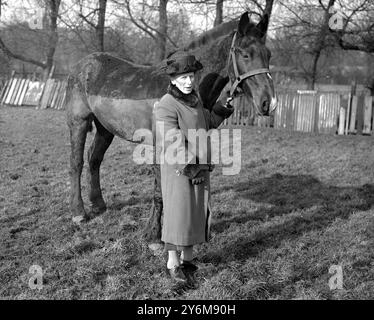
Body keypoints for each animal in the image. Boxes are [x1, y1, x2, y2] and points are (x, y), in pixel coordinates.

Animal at [65, 10, 274, 245]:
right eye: (245, 54)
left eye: (268, 55)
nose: (268, 102)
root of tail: (82, 65)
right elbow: (159, 191)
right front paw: (153, 236)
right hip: (79, 122)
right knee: (76, 163)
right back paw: (79, 213)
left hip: (105, 128)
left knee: (94, 159)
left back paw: (98, 205)